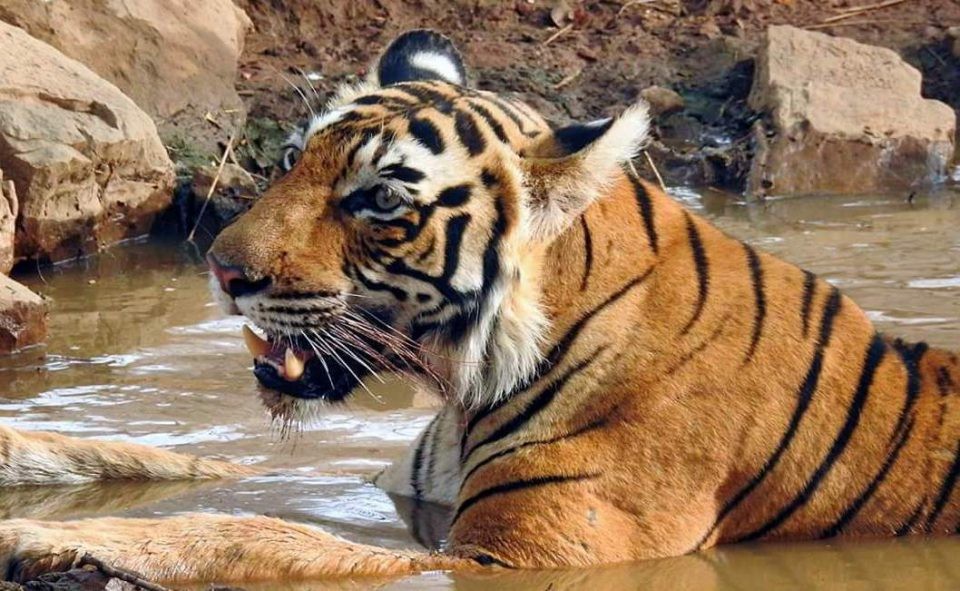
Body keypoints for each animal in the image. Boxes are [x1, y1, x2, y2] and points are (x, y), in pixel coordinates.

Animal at [0, 29, 957, 585]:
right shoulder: (391, 482)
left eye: (380, 199)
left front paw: (44, 538)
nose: (223, 272)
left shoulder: (518, 560)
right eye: (294, 161)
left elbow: (267, 536)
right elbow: (172, 465)